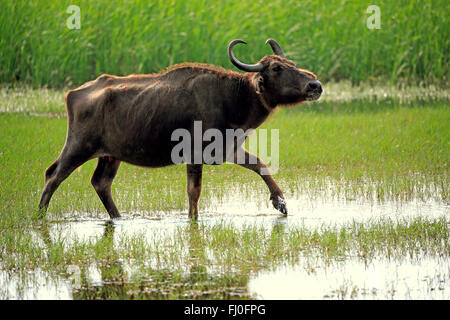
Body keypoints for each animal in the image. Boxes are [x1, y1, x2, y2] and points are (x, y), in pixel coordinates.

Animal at [37, 38, 320, 220]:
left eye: (291, 63)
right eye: (277, 68)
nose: (315, 85)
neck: (234, 98)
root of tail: (73, 94)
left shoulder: (229, 150)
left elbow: (261, 165)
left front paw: (281, 203)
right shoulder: (195, 155)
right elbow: (194, 192)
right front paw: (193, 219)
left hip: (110, 156)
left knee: (100, 183)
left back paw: (118, 217)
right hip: (78, 147)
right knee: (53, 176)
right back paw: (40, 216)